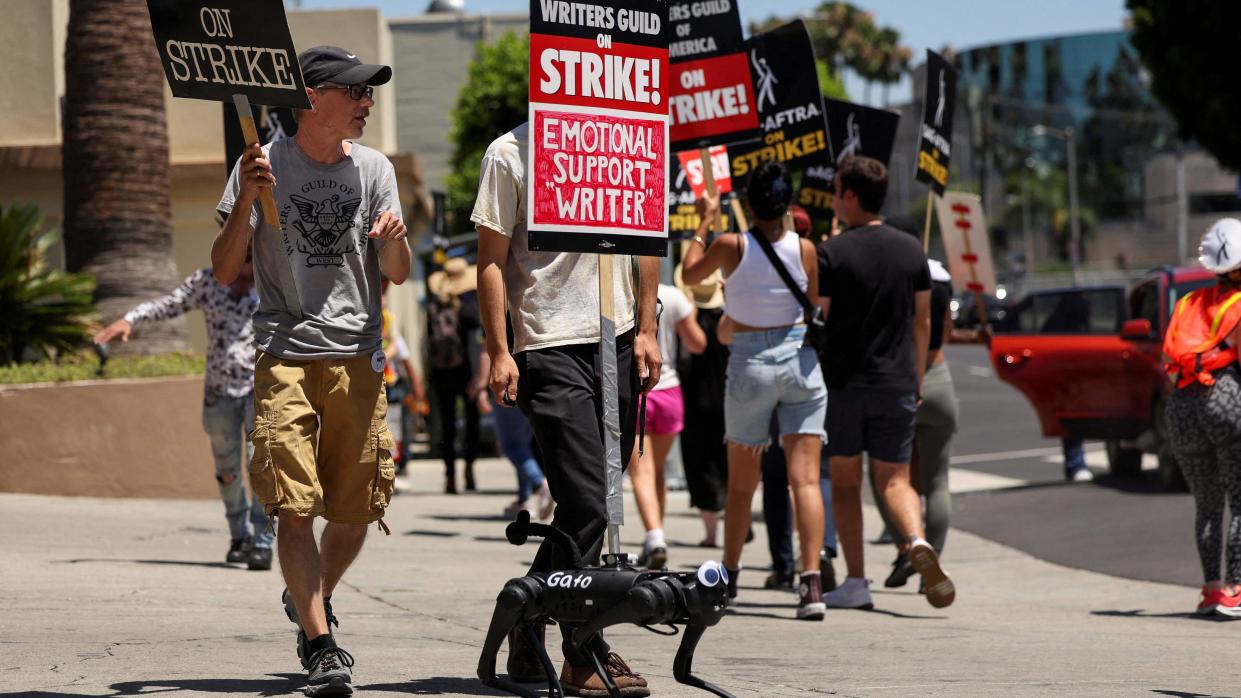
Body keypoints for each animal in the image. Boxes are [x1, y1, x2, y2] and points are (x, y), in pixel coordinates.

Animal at [476, 504, 734, 695]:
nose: (721, 595)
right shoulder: (617, 611)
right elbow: (580, 640)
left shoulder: (693, 621)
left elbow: (682, 670)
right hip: (518, 597)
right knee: (492, 655)